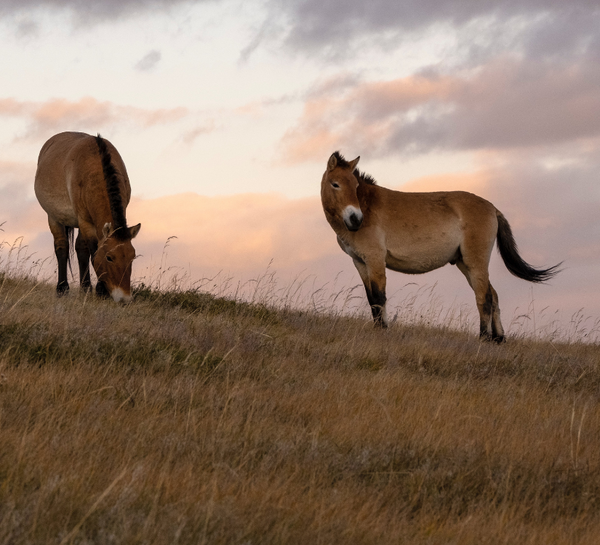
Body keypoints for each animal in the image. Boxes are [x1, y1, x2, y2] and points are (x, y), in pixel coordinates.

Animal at [35, 132, 142, 302]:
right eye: (109, 257)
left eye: (132, 257)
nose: (124, 298)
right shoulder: (85, 221)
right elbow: (93, 252)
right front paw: (101, 290)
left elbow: (85, 250)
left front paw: (92, 289)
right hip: (54, 218)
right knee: (62, 247)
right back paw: (62, 288)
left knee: (80, 248)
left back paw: (85, 288)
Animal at [322, 151, 560, 342]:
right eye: (336, 184)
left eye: (355, 186)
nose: (355, 219)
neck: (368, 206)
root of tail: (493, 208)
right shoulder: (360, 263)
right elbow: (372, 299)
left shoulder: (375, 260)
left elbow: (380, 297)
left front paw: (383, 331)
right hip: (465, 264)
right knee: (493, 295)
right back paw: (498, 339)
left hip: (475, 263)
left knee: (484, 297)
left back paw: (483, 338)